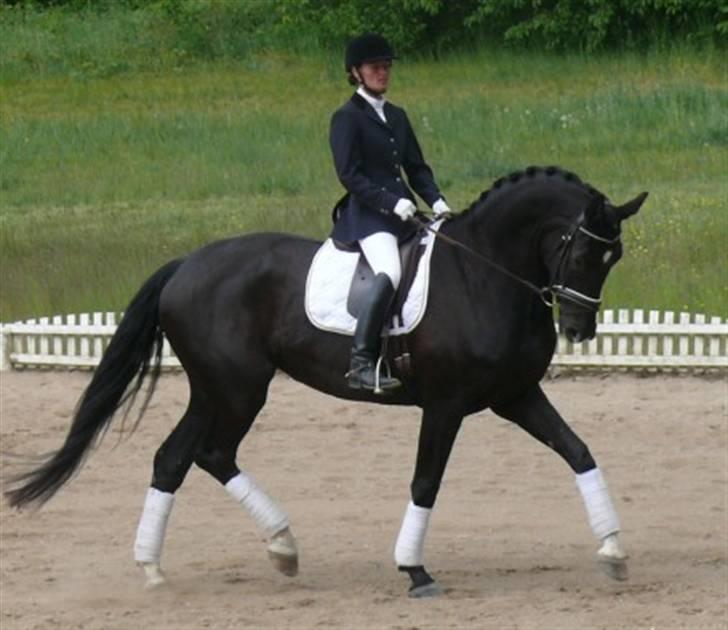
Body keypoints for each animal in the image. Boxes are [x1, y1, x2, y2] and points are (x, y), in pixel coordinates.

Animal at [7, 167, 648, 596]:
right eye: (581, 253)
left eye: (614, 258)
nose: (580, 328)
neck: (483, 273)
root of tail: (186, 264)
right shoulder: (445, 405)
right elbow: (426, 482)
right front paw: (414, 570)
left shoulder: (515, 396)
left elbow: (579, 452)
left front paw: (615, 550)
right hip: (236, 388)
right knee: (204, 453)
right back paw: (253, 549)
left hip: (218, 389)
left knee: (180, 457)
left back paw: (192, 561)